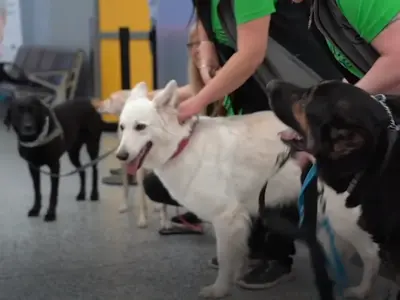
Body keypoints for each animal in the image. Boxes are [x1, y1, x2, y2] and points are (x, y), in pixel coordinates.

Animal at [114, 81, 380, 298]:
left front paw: (219, 289)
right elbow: (238, 253)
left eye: (140, 127)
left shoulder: (226, 217)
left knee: (371, 255)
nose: (121, 156)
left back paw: (362, 290)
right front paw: (239, 273)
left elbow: (225, 258)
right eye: (122, 127)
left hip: (343, 219)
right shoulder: (237, 220)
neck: (183, 143)